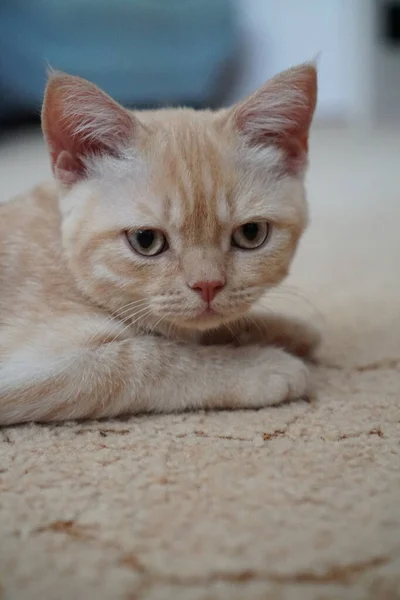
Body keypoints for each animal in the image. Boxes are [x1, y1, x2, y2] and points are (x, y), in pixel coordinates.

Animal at [0, 63, 318, 424]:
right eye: (146, 240)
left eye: (251, 234)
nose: (208, 285)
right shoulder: (35, 365)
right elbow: (149, 358)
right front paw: (258, 364)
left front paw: (287, 329)